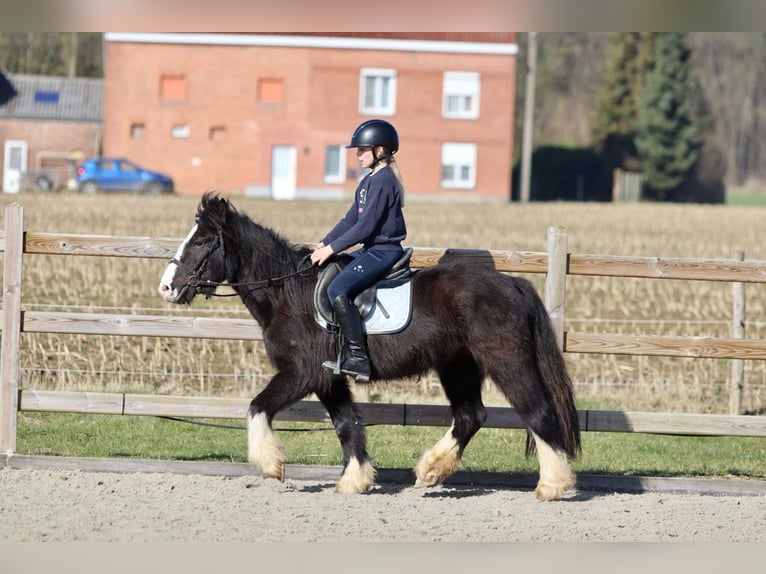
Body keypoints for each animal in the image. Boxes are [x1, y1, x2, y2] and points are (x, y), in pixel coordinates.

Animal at [160, 196, 584, 502]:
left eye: (201, 241)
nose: (166, 287)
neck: (288, 295)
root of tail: (513, 284)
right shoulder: (329, 378)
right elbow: (347, 424)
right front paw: (355, 480)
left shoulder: (302, 373)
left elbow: (258, 407)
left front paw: (271, 464)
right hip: (458, 366)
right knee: (470, 416)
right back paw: (430, 469)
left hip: (505, 360)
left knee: (538, 412)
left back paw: (552, 485)